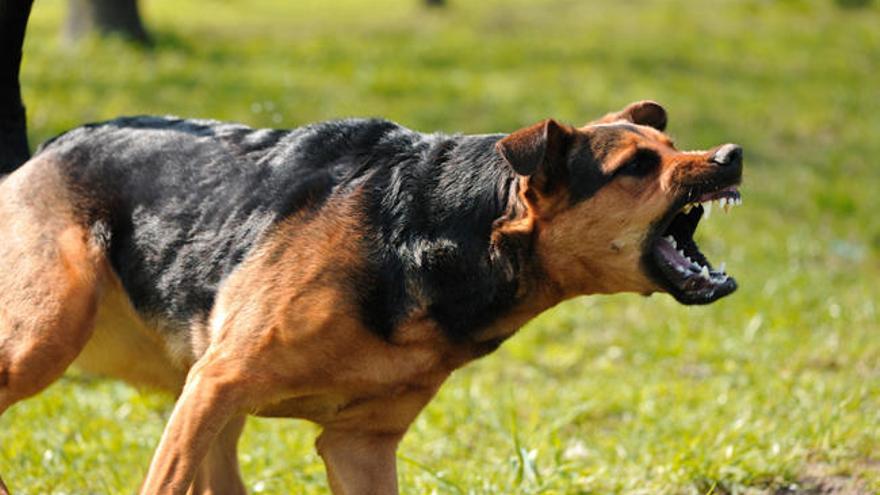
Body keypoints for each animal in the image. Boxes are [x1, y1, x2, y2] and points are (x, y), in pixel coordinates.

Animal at [0, 101, 744, 495]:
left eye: (672, 144)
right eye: (637, 166)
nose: (731, 155)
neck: (436, 231)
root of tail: (42, 150)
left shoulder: (359, 444)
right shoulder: (220, 383)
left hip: (200, 396)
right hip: (50, 338)